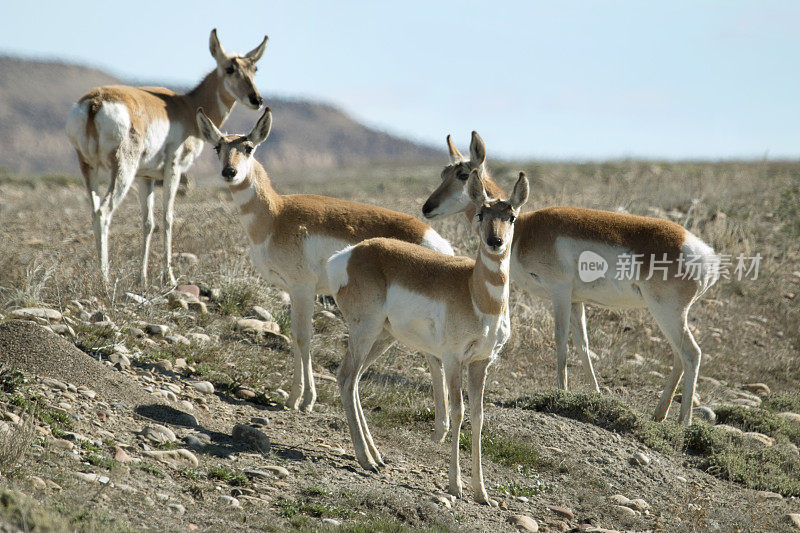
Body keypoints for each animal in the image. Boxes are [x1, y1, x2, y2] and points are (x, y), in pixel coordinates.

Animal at [67, 28, 268, 286]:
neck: (186, 106)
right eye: (230, 68)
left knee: (94, 211)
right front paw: (169, 277)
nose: (257, 100)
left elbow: (148, 223)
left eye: (254, 68)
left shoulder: (146, 177)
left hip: (88, 168)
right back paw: (105, 278)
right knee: (104, 212)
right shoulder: (173, 169)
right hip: (122, 170)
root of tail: (96, 101)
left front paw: (142, 278)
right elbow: (168, 218)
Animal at [195, 106, 456, 418]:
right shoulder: (294, 291)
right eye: (217, 147)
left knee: (432, 358)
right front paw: (300, 398)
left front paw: (300, 399)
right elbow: (298, 336)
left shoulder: (302, 289)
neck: (277, 214)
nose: (229, 172)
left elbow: (302, 337)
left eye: (248, 147)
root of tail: (438, 243)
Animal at [328, 169, 528, 502]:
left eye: (511, 216)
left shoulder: (481, 363)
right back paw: (366, 460)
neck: (475, 292)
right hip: (364, 332)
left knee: (353, 380)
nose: (495, 242)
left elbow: (479, 416)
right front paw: (455, 486)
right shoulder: (452, 360)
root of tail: (350, 254)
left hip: (382, 338)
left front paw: (481, 492)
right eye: (482, 213)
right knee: (345, 377)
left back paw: (376, 457)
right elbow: (458, 412)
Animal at [422, 133, 720, 424]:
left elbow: (560, 338)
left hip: (667, 312)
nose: (426, 208)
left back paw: (684, 422)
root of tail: (704, 253)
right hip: (667, 315)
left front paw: (561, 392)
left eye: (463, 174)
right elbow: (583, 345)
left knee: (691, 354)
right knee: (679, 356)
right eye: (443, 173)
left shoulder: (560, 293)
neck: (525, 229)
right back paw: (659, 414)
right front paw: (596, 394)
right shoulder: (577, 301)